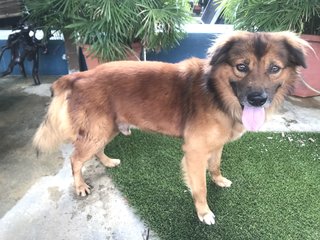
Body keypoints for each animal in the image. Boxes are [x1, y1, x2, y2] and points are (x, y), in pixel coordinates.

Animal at [33, 31, 308, 224]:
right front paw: (204, 212)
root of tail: (77, 76)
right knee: (76, 159)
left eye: (274, 69)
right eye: (241, 67)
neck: (216, 93)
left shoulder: (216, 144)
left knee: (94, 151)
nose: (257, 99)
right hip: (97, 130)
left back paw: (108, 161)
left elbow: (215, 166)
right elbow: (200, 187)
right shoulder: (195, 151)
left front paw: (219, 180)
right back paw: (80, 186)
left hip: (106, 129)